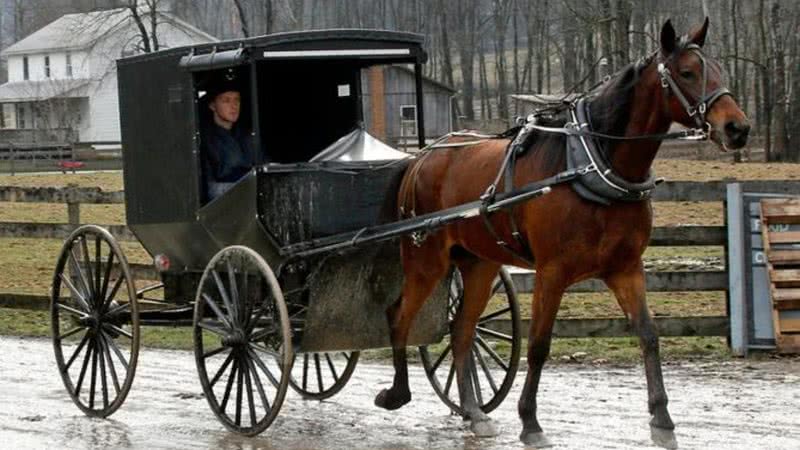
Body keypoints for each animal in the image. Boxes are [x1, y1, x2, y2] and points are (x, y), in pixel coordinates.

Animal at [374, 18, 752, 446]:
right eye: (686, 73)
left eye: (719, 68)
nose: (737, 128)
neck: (591, 165)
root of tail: (423, 156)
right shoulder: (552, 273)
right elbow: (539, 345)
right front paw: (530, 422)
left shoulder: (626, 269)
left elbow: (649, 335)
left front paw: (662, 420)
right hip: (425, 259)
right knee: (400, 316)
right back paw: (397, 393)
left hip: (479, 264)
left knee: (462, 331)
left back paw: (473, 412)